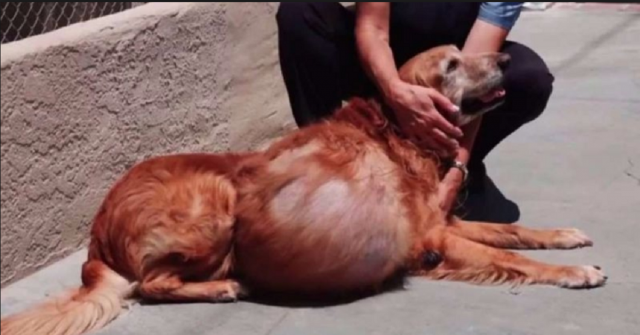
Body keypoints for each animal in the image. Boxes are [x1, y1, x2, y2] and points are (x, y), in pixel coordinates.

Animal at [0, 45, 604, 335]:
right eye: (452, 65)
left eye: (467, 54)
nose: (503, 58)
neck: (395, 134)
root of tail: (96, 233)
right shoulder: (431, 240)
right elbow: (512, 258)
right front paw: (572, 271)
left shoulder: (444, 221)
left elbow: (512, 231)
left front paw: (564, 235)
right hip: (217, 203)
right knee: (151, 284)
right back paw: (222, 287)